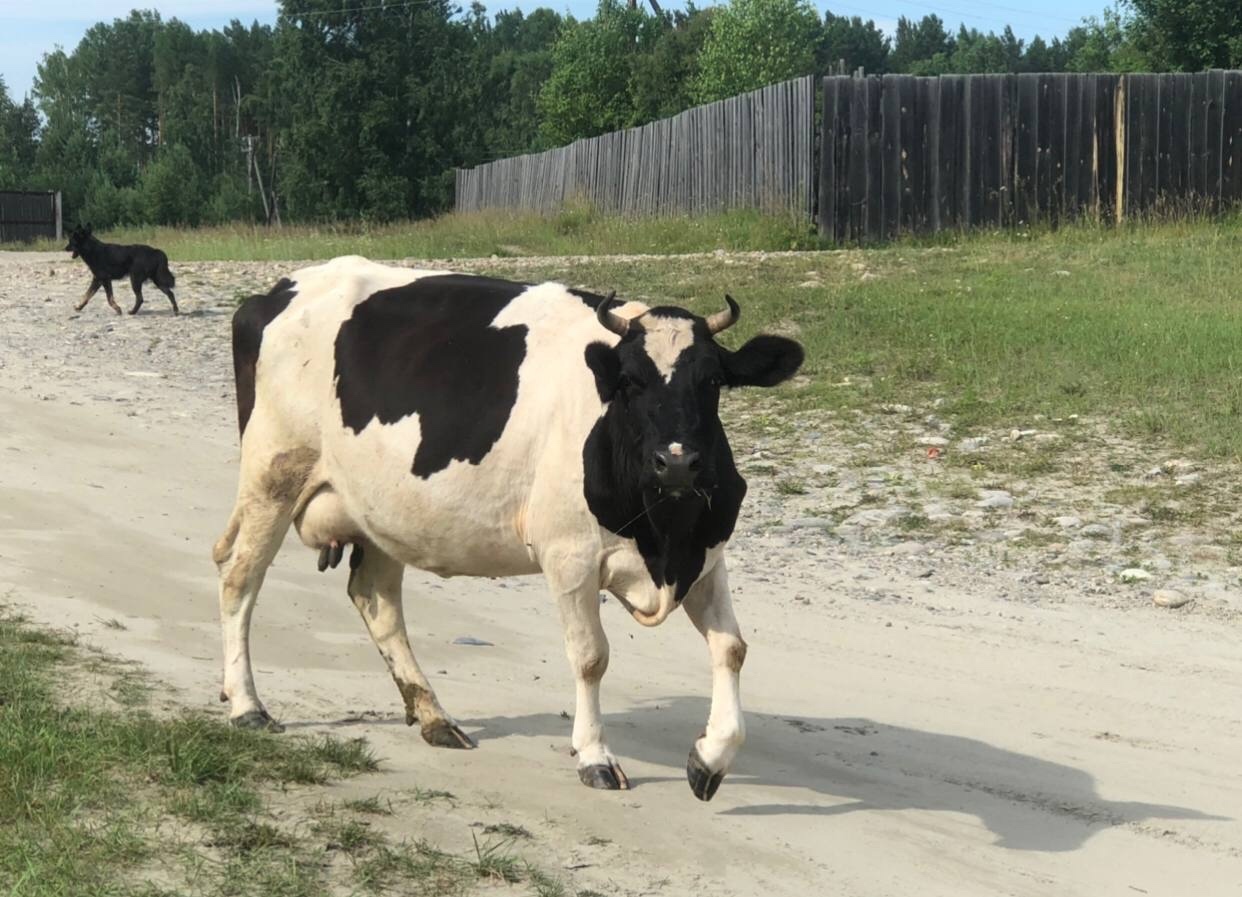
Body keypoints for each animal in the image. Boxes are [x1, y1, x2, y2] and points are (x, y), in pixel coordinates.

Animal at [213, 254, 804, 800]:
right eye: (629, 382)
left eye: (713, 381)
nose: (677, 462)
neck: (661, 533)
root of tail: (277, 290)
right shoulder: (568, 556)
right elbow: (591, 656)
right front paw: (594, 755)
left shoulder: (705, 556)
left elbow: (732, 648)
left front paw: (710, 759)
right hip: (273, 474)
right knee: (239, 576)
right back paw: (247, 704)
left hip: (385, 508)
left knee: (376, 598)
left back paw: (434, 716)